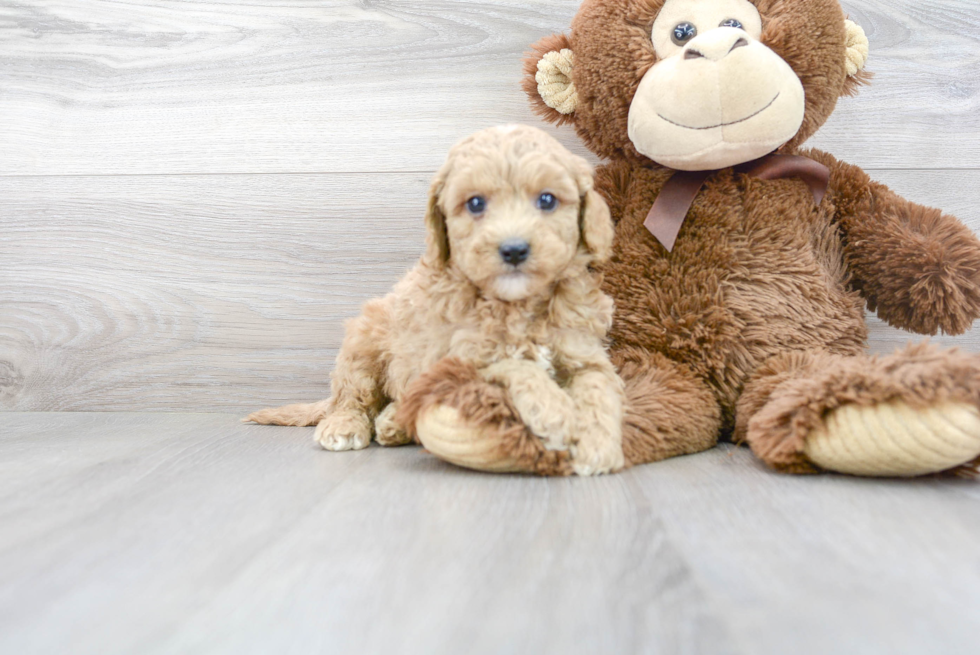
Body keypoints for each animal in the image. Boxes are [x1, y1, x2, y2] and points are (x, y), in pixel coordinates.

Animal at [249, 125, 624, 474]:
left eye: (547, 200)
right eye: (475, 203)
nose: (514, 249)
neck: (517, 305)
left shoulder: (584, 350)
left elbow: (599, 388)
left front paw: (598, 444)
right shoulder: (457, 358)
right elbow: (514, 363)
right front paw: (556, 411)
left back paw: (392, 423)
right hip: (363, 340)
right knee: (352, 396)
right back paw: (345, 425)